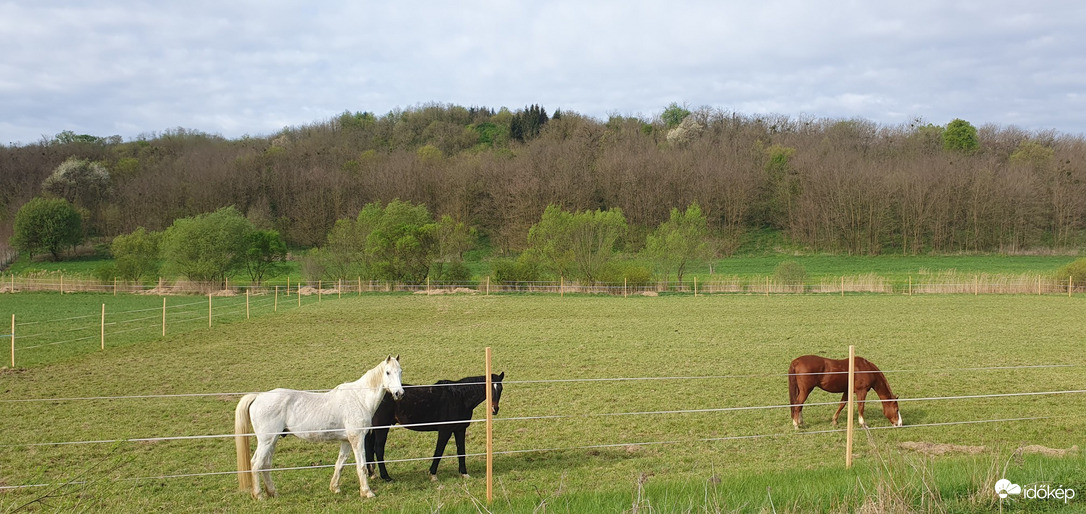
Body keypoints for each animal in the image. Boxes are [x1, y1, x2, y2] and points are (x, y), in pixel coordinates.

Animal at [235, 354, 406, 499]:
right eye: (388, 372)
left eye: (400, 371)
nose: (399, 393)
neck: (359, 398)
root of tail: (258, 396)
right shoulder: (357, 439)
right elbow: (362, 466)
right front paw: (367, 492)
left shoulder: (346, 441)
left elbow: (340, 464)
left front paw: (335, 488)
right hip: (266, 441)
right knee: (256, 464)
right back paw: (259, 495)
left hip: (273, 441)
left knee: (265, 465)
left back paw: (272, 493)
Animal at [362, 371, 501, 480]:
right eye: (489, 388)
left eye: (500, 389)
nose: (494, 409)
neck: (459, 397)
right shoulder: (445, 430)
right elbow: (439, 451)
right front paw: (433, 474)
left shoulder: (460, 429)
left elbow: (461, 450)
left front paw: (464, 473)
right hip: (382, 428)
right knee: (378, 449)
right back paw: (386, 477)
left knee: (369, 445)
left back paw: (372, 473)